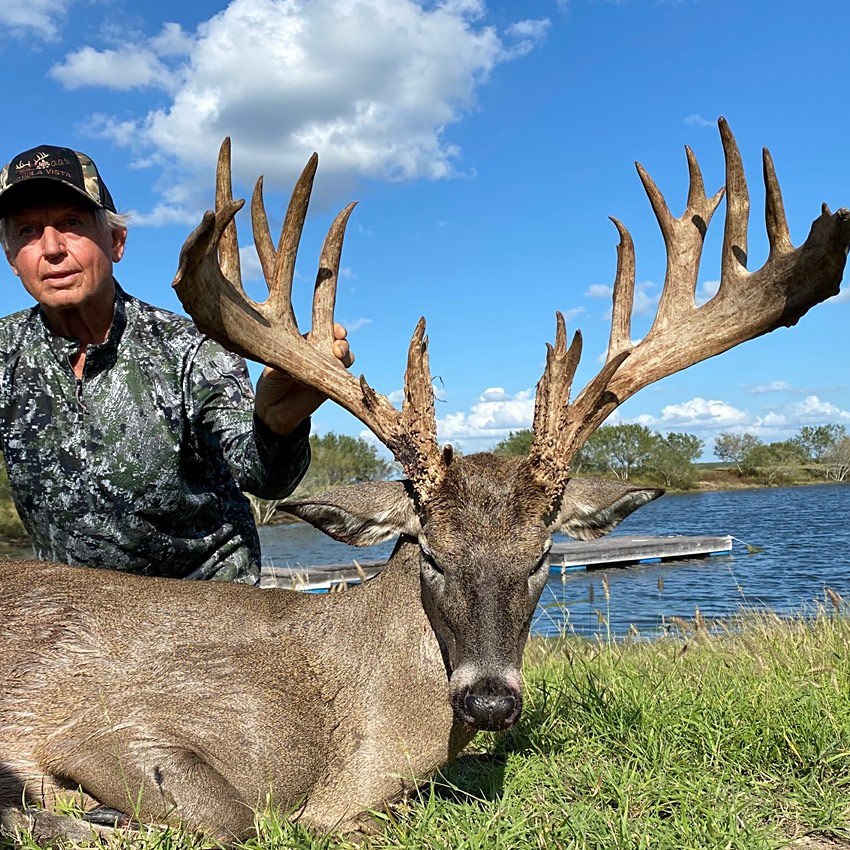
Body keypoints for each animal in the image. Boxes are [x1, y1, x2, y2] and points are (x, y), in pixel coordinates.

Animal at [1, 118, 848, 846]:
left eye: (544, 557)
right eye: (430, 554)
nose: (489, 699)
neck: (357, 754)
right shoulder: (115, 723)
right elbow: (233, 815)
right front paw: (61, 809)